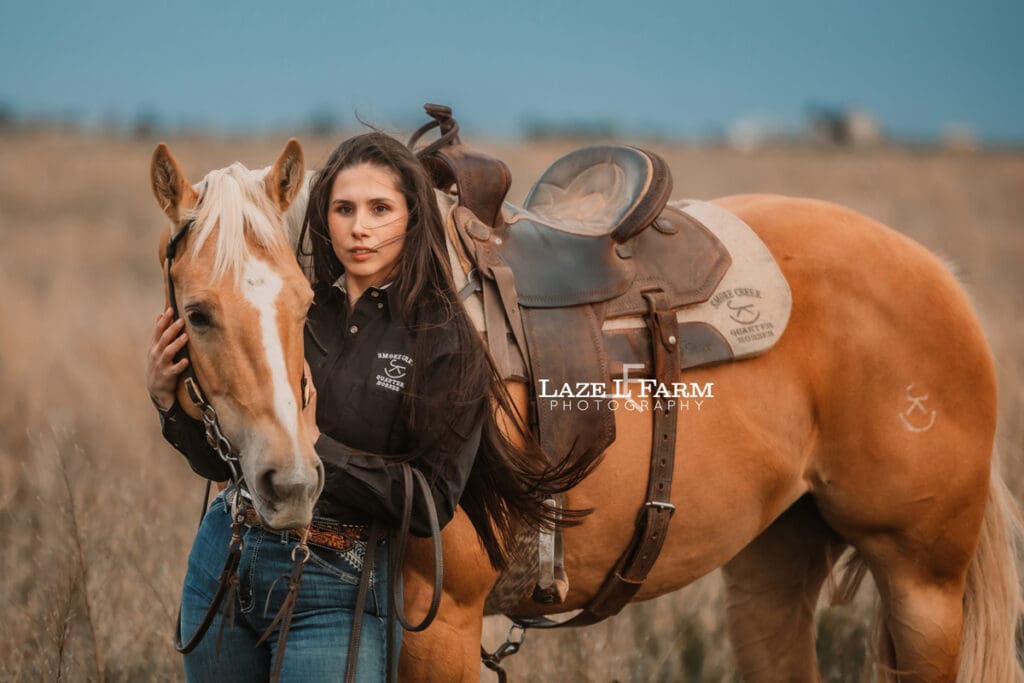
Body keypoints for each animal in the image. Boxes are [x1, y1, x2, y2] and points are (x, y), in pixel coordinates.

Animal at [150, 140, 1022, 682]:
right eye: (197, 313)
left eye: (301, 303)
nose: (292, 483)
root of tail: (936, 272)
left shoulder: (443, 621)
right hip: (773, 567)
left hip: (922, 584)